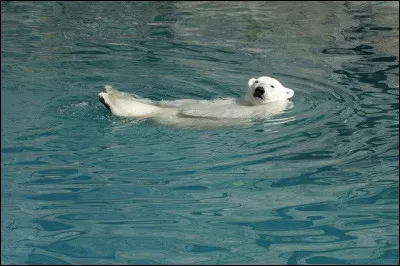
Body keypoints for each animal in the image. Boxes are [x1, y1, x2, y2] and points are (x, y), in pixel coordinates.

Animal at [99, 76, 296, 129]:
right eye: (256, 81)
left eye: (271, 85)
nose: (260, 89)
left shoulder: (259, 112)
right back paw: (109, 90)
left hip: (165, 117)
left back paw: (107, 99)